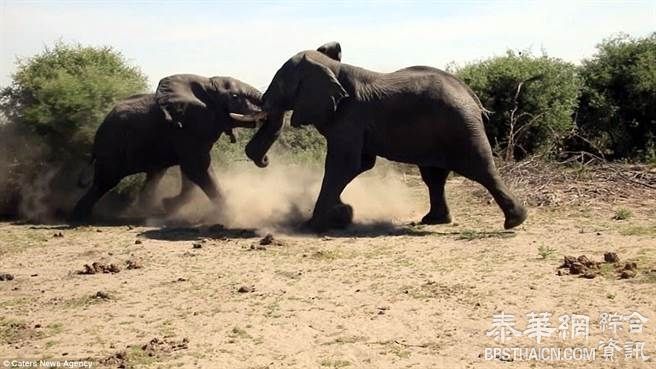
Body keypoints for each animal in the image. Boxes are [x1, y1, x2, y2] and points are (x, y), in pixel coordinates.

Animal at [70, 73, 266, 220]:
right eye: (235, 97)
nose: (264, 160)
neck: (206, 83)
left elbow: (191, 172)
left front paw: (168, 205)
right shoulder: (183, 129)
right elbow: (197, 167)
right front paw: (229, 214)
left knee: (154, 175)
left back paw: (147, 212)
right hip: (111, 145)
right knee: (105, 181)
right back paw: (80, 217)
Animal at [245, 42, 528, 230]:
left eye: (280, 84)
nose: (263, 161)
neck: (332, 67)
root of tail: (471, 95)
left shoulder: (349, 117)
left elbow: (343, 165)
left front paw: (315, 224)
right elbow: (359, 164)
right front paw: (341, 214)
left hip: (460, 126)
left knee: (480, 168)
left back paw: (514, 221)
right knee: (434, 176)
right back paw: (435, 220)